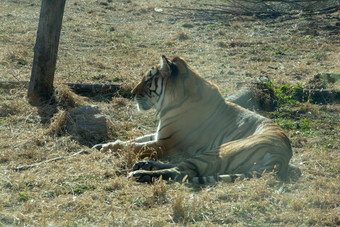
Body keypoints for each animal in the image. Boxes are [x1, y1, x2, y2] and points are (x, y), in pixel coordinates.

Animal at [93, 55, 292, 184]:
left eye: (148, 80)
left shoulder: (165, 142)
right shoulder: (159, 135)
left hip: (220, 150)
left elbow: (133, 146)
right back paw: (144, 164)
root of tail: (282, 155)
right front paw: (101, 145)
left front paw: (105, 148)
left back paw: (140, 173)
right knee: (182, 166)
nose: (132, 94)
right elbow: (134, 140)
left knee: (182, 171)